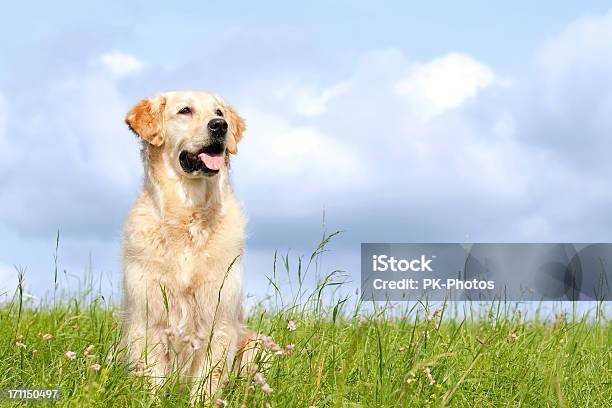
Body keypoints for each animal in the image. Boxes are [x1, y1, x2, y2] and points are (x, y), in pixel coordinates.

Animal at [122, 90, 258, 402]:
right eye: (185, 111)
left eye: (219, 112)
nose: (220, 126)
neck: (189, 215)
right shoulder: (149, 319)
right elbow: (152, 378)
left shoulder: (218, 320)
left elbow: (207, 382)